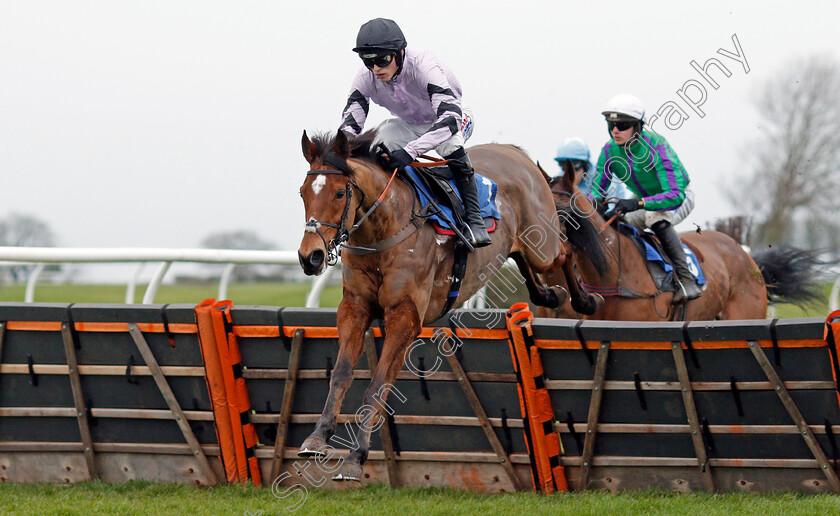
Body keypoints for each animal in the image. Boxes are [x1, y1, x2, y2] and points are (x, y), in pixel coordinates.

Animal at [298, 129, 568, 480]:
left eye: (340, 193)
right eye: (303, 193)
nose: (311, 257)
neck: (383, 231)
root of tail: (513, 151)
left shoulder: (405, 317)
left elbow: (377, 385)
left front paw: (356, 458)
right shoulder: (355, 309)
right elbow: (341, 373)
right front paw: (317, 437)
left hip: (543, 247)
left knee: (564, 251)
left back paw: (583, 293)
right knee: (526, 261)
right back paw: (549, 294)